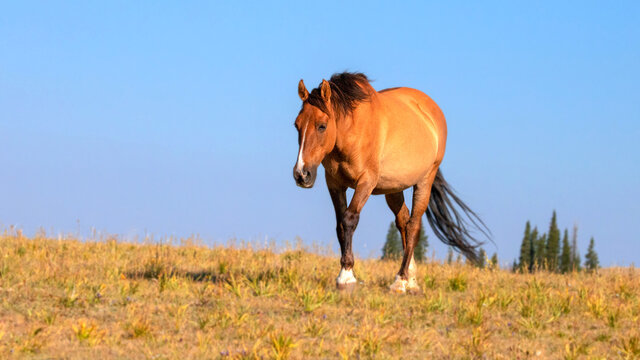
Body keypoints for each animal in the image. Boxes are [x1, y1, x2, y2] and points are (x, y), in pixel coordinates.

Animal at [292, 72, 488, 292]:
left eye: (322, 126)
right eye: (297, 125)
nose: (301, 174)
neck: (353, 130)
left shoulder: (366, 182)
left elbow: (350, 219)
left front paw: (346, 276)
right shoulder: (334, 184)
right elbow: (340, 225)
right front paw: (344, 273)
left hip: (425, 181)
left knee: (413, 225)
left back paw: (400, 280)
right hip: (394, 188)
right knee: (403, 222)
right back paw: (411, 278)